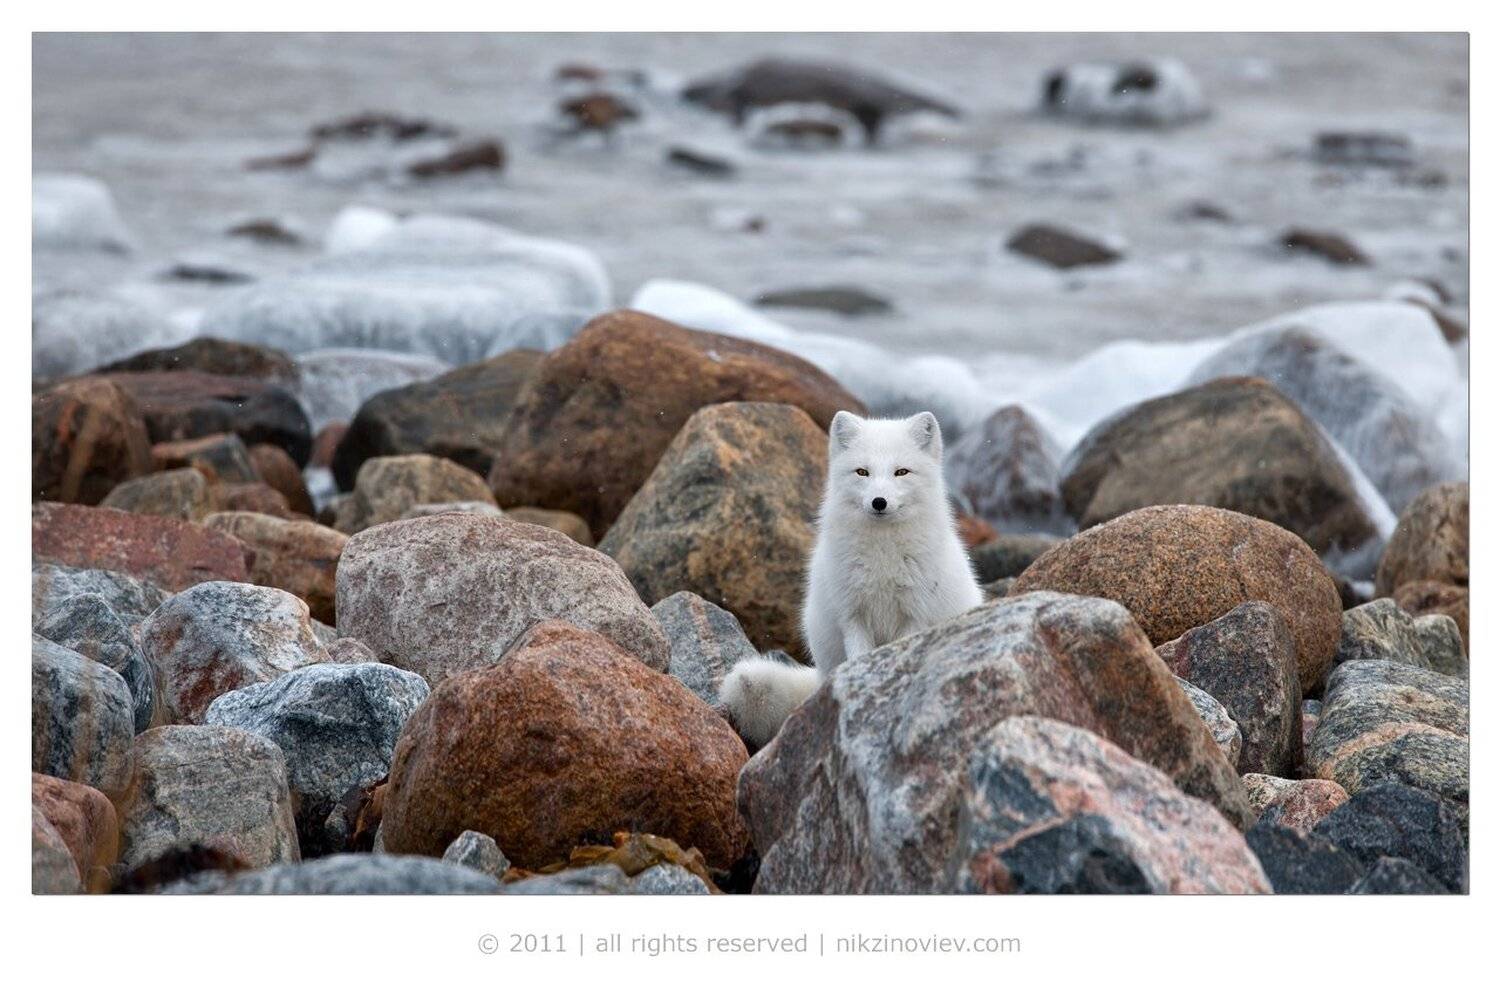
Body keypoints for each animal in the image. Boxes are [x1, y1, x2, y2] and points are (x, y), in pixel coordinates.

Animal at [721, 410, 984, 748]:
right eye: (862, 472)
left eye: (901, 472)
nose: (879, 502)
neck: (883, 556)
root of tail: (819, 676)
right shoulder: (852, 615)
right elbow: (859, 658)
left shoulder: (914, 615)